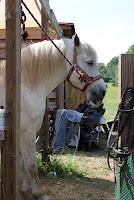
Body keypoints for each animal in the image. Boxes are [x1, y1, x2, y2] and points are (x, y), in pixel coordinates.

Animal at [0, 35, 107, 199]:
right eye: (90, 62)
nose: (102, 91)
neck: (24, 84)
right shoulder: (27, 133)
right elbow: (31, 165)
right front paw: (38, 193)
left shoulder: (22, 134)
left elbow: (23, 164)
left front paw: (24, 192)